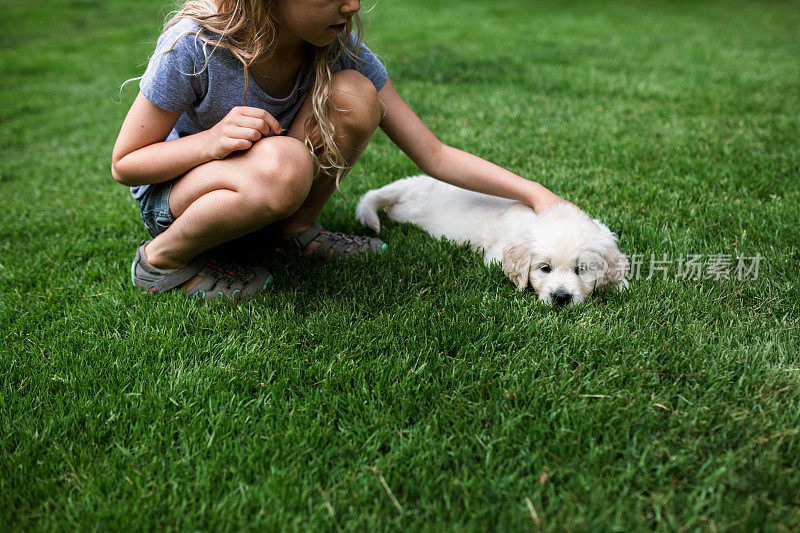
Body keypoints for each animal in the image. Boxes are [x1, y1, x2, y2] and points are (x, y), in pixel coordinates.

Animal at [358, 176, 632, 308]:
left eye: (581, 269)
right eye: (545, 268)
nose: (561, 298)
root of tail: (414, 184)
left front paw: (620, 286)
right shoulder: (495, 256)